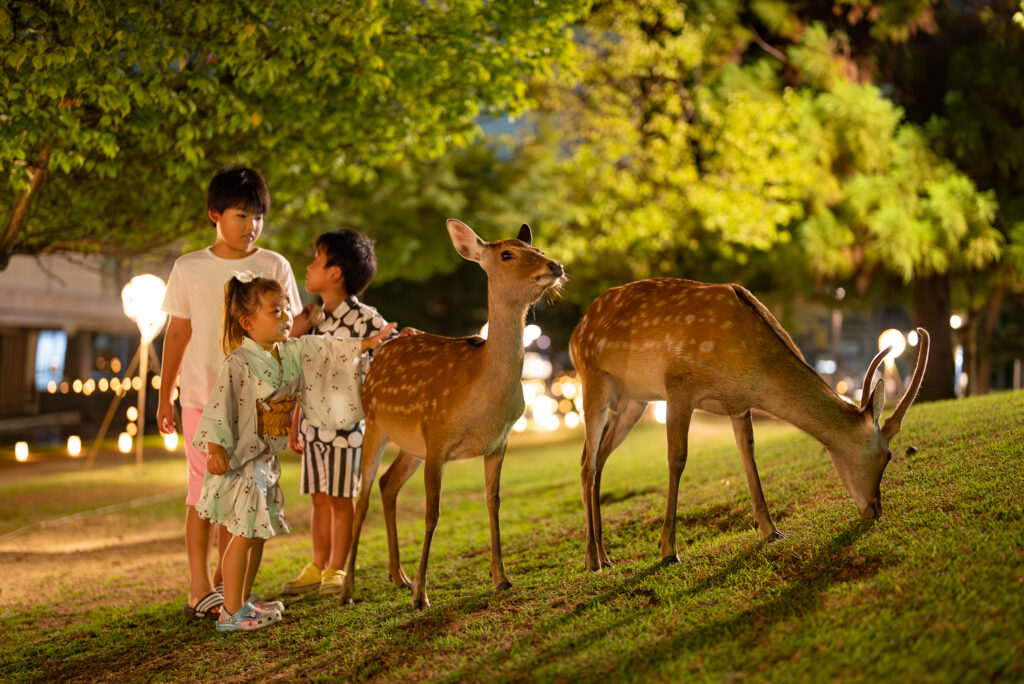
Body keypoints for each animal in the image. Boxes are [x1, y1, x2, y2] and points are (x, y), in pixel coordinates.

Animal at [337, 216, 565, 606]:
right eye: (507, 254)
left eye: (538, 249)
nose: (556, 266)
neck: (482, 396)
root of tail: (378, 354)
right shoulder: (438, 438)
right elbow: (432, 513)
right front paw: (421, 595)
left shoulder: (497, 443)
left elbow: (493, 502)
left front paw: (501, 578)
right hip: (376, 426)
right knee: (362, 499)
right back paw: (349, 589)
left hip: (411, 446)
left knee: (387, 484)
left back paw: (397, 576)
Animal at [573, 278, 933, 573]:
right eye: (888, 456)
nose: (875, 508)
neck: (750, 371)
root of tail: (577, 332)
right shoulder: (679, 385)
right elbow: (677, 459)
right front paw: (668, 550)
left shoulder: (737, 404)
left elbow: (748, 454)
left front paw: (772, 531)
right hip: (594, 379)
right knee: (588, 462)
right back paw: (592, 560)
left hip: (633, 400)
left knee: (597, 459)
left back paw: (606, 555)